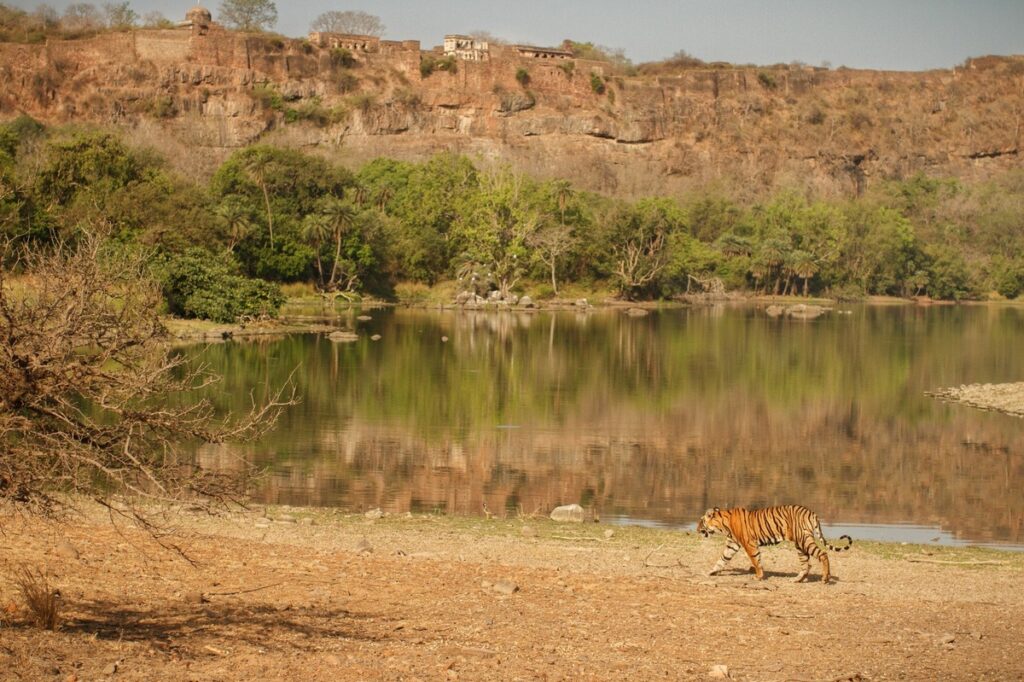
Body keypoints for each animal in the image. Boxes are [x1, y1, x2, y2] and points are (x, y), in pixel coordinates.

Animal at [696, 501, 856, 581]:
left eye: (701, 521)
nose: (696, 530)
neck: (724, 524)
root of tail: (812, 513)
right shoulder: (732, 544)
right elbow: (722, 559)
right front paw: (711, 571)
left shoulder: (749, 544)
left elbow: (755, 560)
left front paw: (759, 576)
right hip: (800, 544)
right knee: (806, 563)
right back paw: (798, 579)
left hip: (804, 540)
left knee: (822, 554)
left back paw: (825, 578)